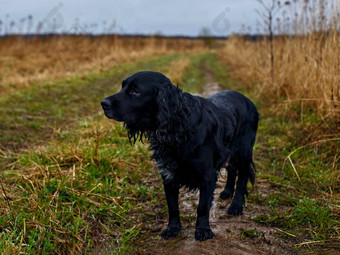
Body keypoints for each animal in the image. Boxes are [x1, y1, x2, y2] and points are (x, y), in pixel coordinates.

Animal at [100, 71, 258, 241]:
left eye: (135, 90)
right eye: (123, 87)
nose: (103, 103)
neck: (179, 128)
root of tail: (248, 100)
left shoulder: (207, 175)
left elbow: (203, 207)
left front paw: (203, 230)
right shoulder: (168, 174)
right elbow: (173, 207)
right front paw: (173, 228)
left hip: (243, 151)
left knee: (242, 177)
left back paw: (236, 205)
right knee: (232, 169)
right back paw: (227, 192)